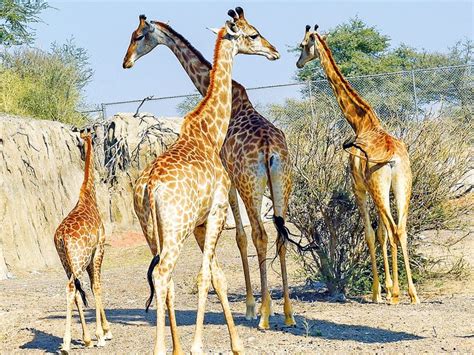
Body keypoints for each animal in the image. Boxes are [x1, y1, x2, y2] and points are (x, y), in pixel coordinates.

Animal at [53, 127, 112, 354]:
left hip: (67, 262)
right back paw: (67, 343)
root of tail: (61, 237)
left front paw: (100, 333)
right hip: (79, 260)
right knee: (72, 288)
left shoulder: (90, 257)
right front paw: (102, 334)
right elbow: (97, 286)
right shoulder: (99, 248)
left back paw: (83, 340)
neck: (88, 196)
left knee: (76, 291)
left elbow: (92, 286)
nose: (81, 146)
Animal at [124, 8, 296, 330]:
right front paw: (253, 306)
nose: (126, 61)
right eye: (254, 33)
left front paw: (251, 308)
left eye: (138, 36)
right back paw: (287, 313)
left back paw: (266, 314)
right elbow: (240, 240)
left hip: (249, 186)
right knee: (279, 236)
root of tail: (270, 149)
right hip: (282, 183)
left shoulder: (228, 186)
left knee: (261, 235)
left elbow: (240, 238)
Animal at [296, 25, 418, 306]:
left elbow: (372, 235)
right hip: (401, 186)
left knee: (393, 229)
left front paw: (378, 292)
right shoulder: (373, 190)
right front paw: (386, 288)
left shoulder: (359, 188)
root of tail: (393, 160)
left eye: (302, 45)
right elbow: (381, 233)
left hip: (379, 187)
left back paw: (397, 294)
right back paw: (412, 294)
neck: (363, 123)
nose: (298, 63)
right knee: (401, 229)